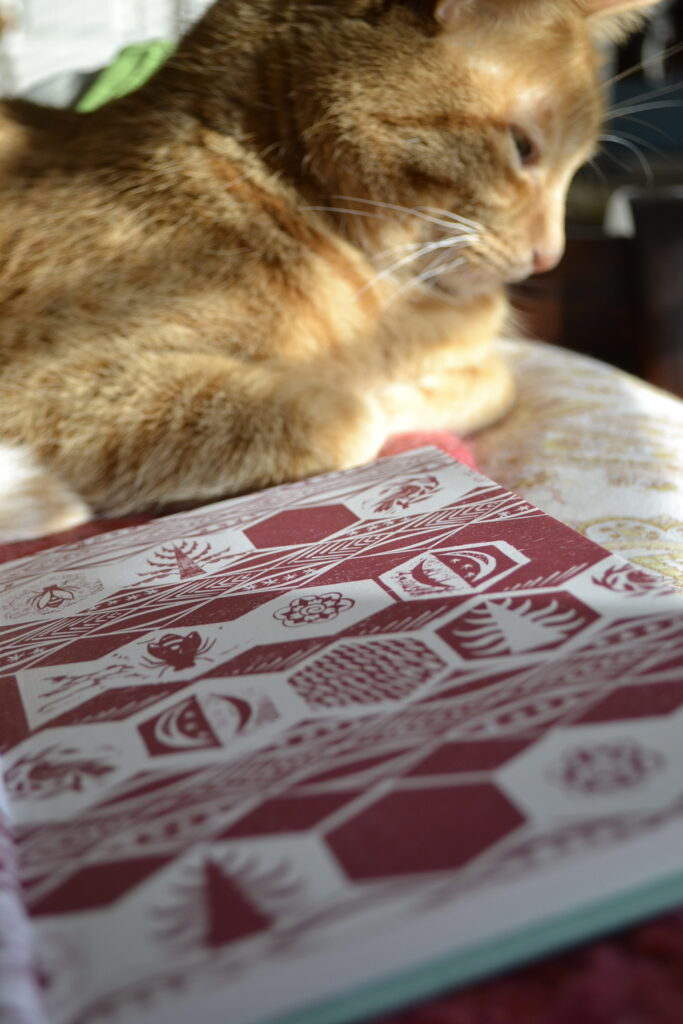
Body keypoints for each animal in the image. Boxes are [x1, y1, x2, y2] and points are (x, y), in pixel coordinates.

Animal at [0, 0, 663, 540]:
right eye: (523, 148)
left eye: (576, 168)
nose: (551, 255)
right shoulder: (45, 385)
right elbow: (354, 417)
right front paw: (373, 394)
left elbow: (494, 384)